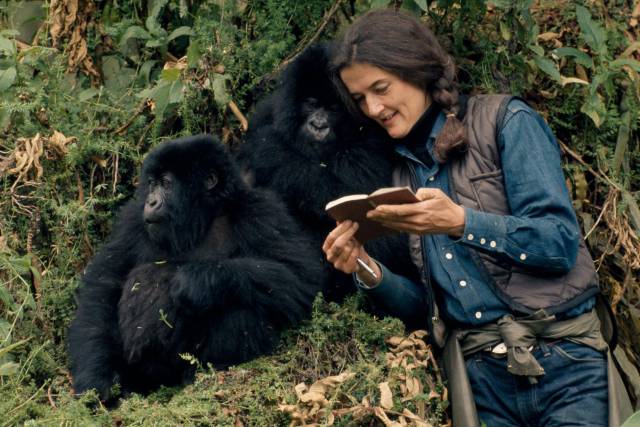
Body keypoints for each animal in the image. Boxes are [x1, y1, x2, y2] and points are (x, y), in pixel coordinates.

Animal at [67, 136, 322, 402]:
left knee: (241, 299)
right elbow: (103, 288)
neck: (200, 217)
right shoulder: (132, 219)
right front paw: (97, 380)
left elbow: (300, 277)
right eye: (152, 184)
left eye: (166, 184)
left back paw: (210, 371)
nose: (150, 201)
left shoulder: (261, 209)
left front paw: (195, 281)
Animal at [236, 43, 420, 302]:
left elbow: (344, 192)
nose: (318, 125)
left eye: (333, 109)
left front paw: (267, 147)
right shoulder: (267, 111)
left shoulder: (373, 134)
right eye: (312, 103)